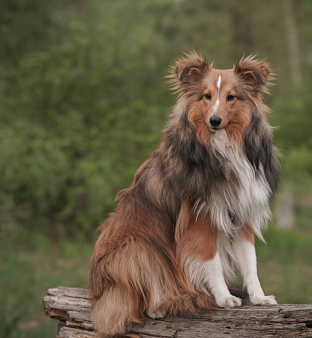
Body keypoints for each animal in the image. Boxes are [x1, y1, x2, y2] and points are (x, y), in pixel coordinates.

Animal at [89, 52, 280, 336]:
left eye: (231, 97)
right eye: (206, 96)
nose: (214, 121)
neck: (223, 146)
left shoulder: (242, 214)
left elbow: (250, 262)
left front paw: (258, 298)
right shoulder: (200, 220)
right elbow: (211, 260)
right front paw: (224, 298)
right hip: (137, 246)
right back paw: (159, 306)